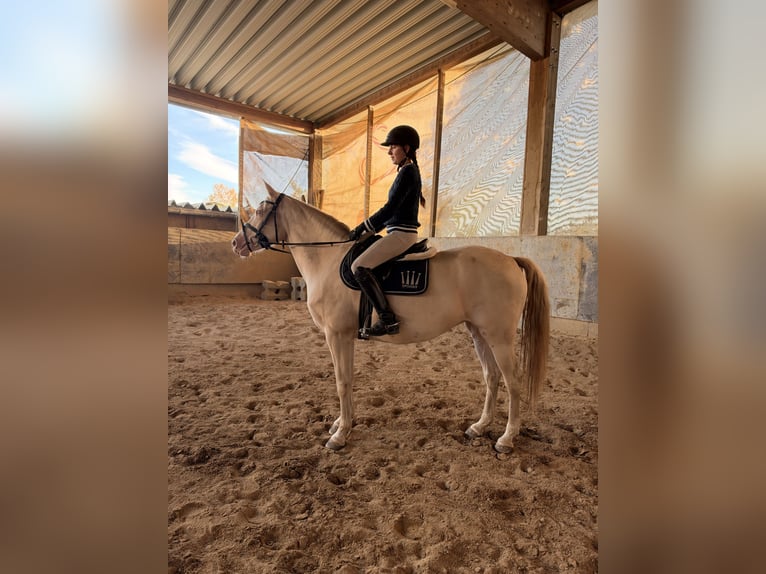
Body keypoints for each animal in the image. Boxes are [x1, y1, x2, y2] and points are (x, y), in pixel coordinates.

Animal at [231, 184, 550, 453]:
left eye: (259, 210)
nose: (236, 243)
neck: (328, 260)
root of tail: (511, 260)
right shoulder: (341, 337)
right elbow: (346, 379)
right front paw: (342, 424)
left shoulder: (337, 335)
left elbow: (342, 381)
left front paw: (340, 435)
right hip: (479, 332)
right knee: (491, 376)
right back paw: (480, 427)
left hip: (499, 336)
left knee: (512, 381)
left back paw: (506, 439)